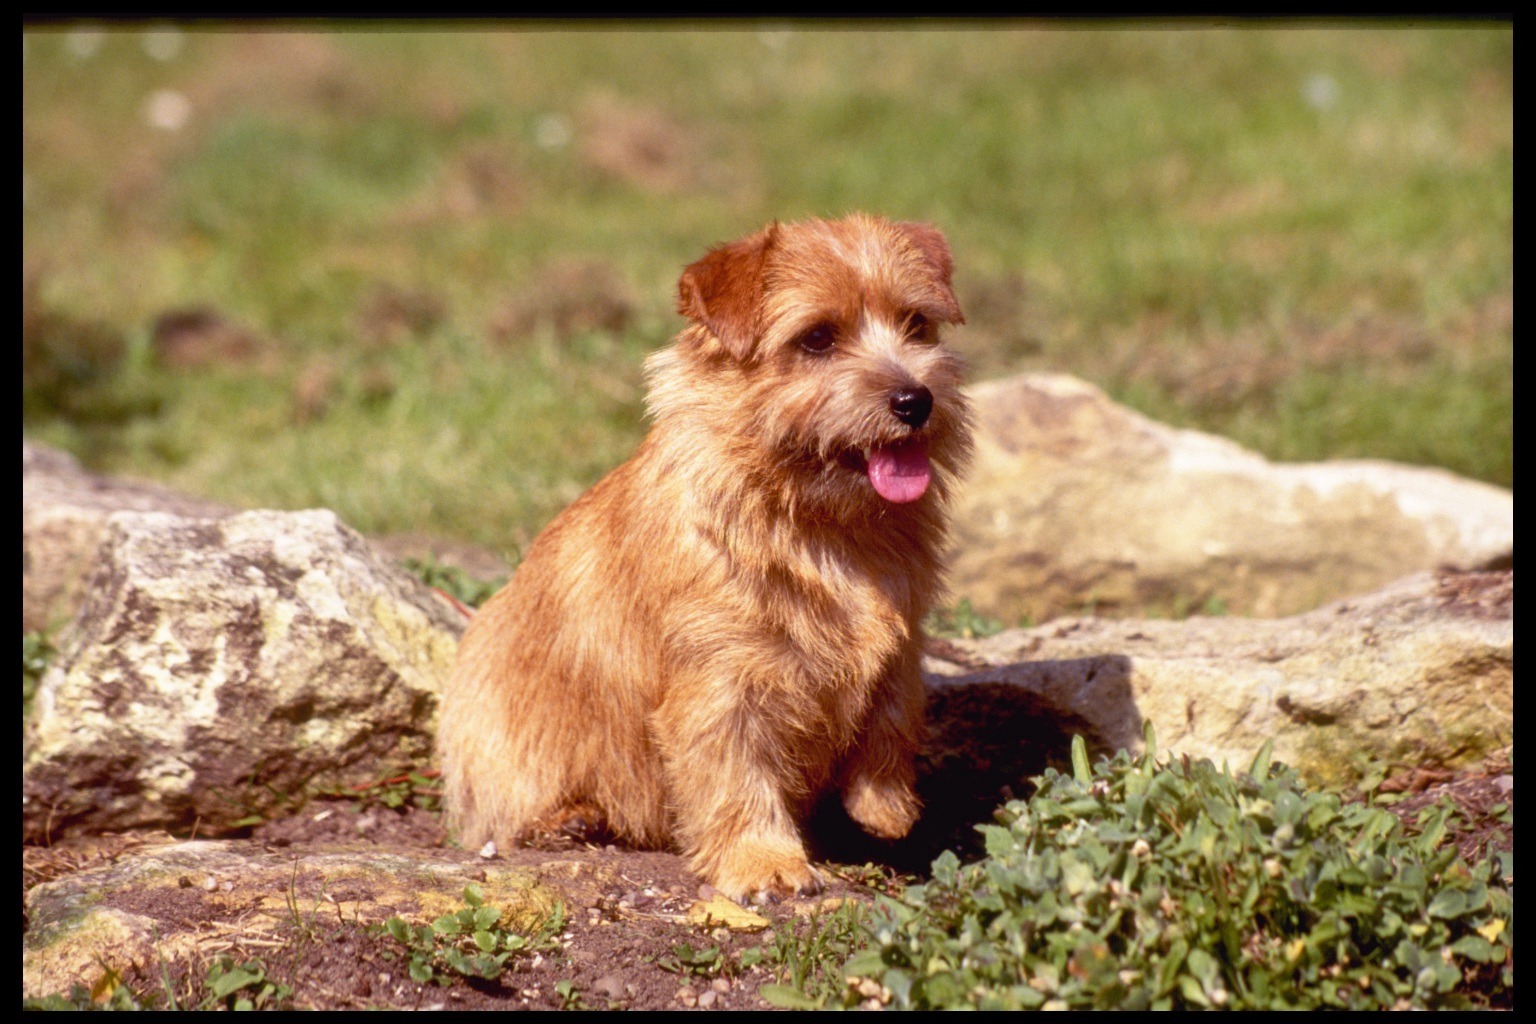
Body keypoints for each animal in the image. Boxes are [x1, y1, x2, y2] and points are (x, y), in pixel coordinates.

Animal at [436, 211, 970, 902]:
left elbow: (893, 715)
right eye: (817, 339)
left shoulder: (901, 640)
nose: (915, 400)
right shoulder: (721, 679)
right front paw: (764, 861)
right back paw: (571, 819)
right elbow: (734, 772)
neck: (821, 525)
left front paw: (886, 806)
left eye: (916, 324)